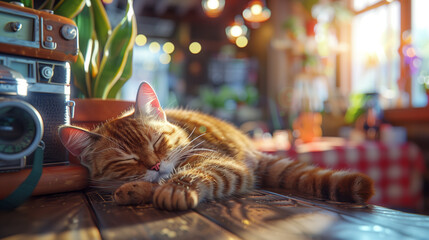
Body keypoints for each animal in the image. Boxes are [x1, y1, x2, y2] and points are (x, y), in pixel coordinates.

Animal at [58, 82, 372, 210]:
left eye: (157, 141)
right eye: (126, 160)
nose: (155, 165)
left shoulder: (221, 163)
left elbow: (189, 176)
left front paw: (174, 189)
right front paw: (136, 188)